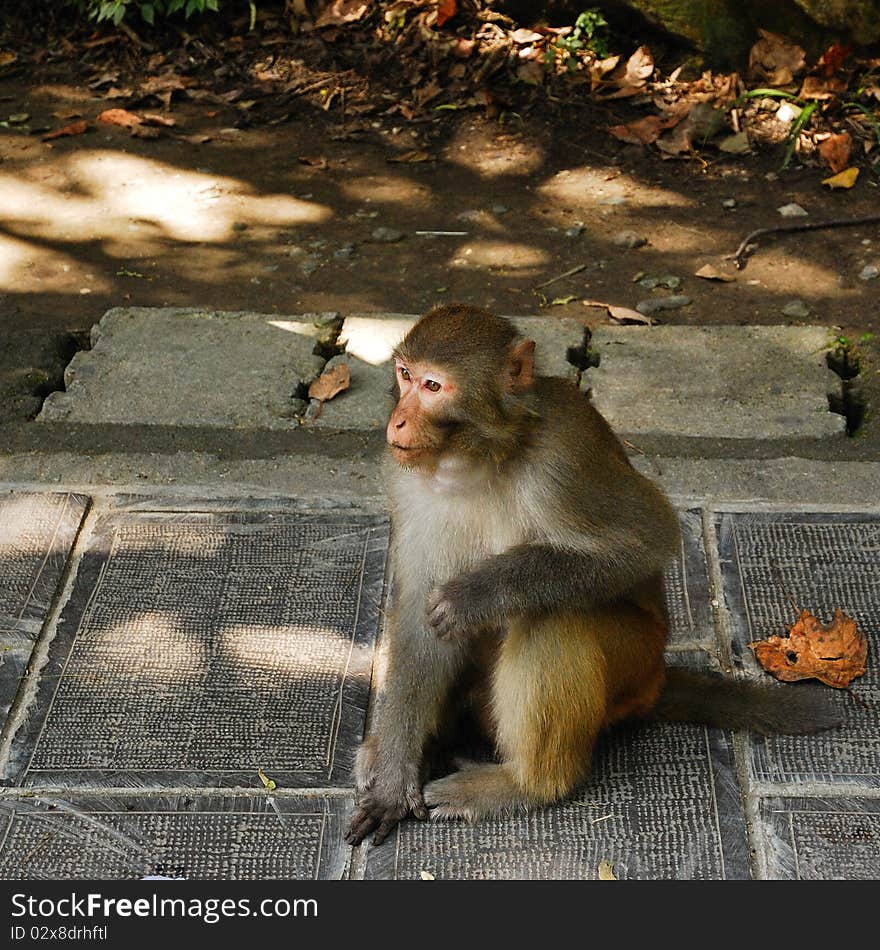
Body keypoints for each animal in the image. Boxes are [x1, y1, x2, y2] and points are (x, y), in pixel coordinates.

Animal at [344, 304, 840, 848]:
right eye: (404, 375)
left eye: (433, 386)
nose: (398, 419)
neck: (477, 458)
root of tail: (654, 679)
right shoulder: (405, 481)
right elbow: (418, 619)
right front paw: (395, 780)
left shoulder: (564, 456)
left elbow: (648, 538)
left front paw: (477, 594)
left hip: (632, 660)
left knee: (552, 618)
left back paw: (526, 785)